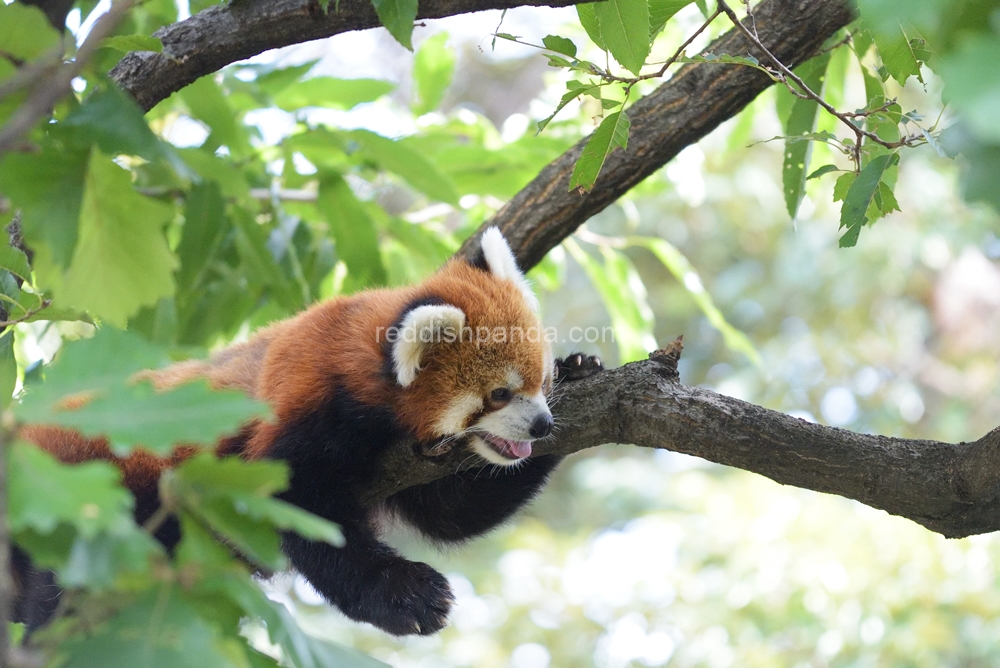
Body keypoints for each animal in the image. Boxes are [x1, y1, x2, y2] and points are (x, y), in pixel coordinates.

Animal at [13, 228, 600, 636]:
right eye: (499, 394)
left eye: (539, 383)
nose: (543, 423)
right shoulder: (304, 412)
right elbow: (304, 512)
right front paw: (405, 593)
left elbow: (452, 512)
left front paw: (580, 368)